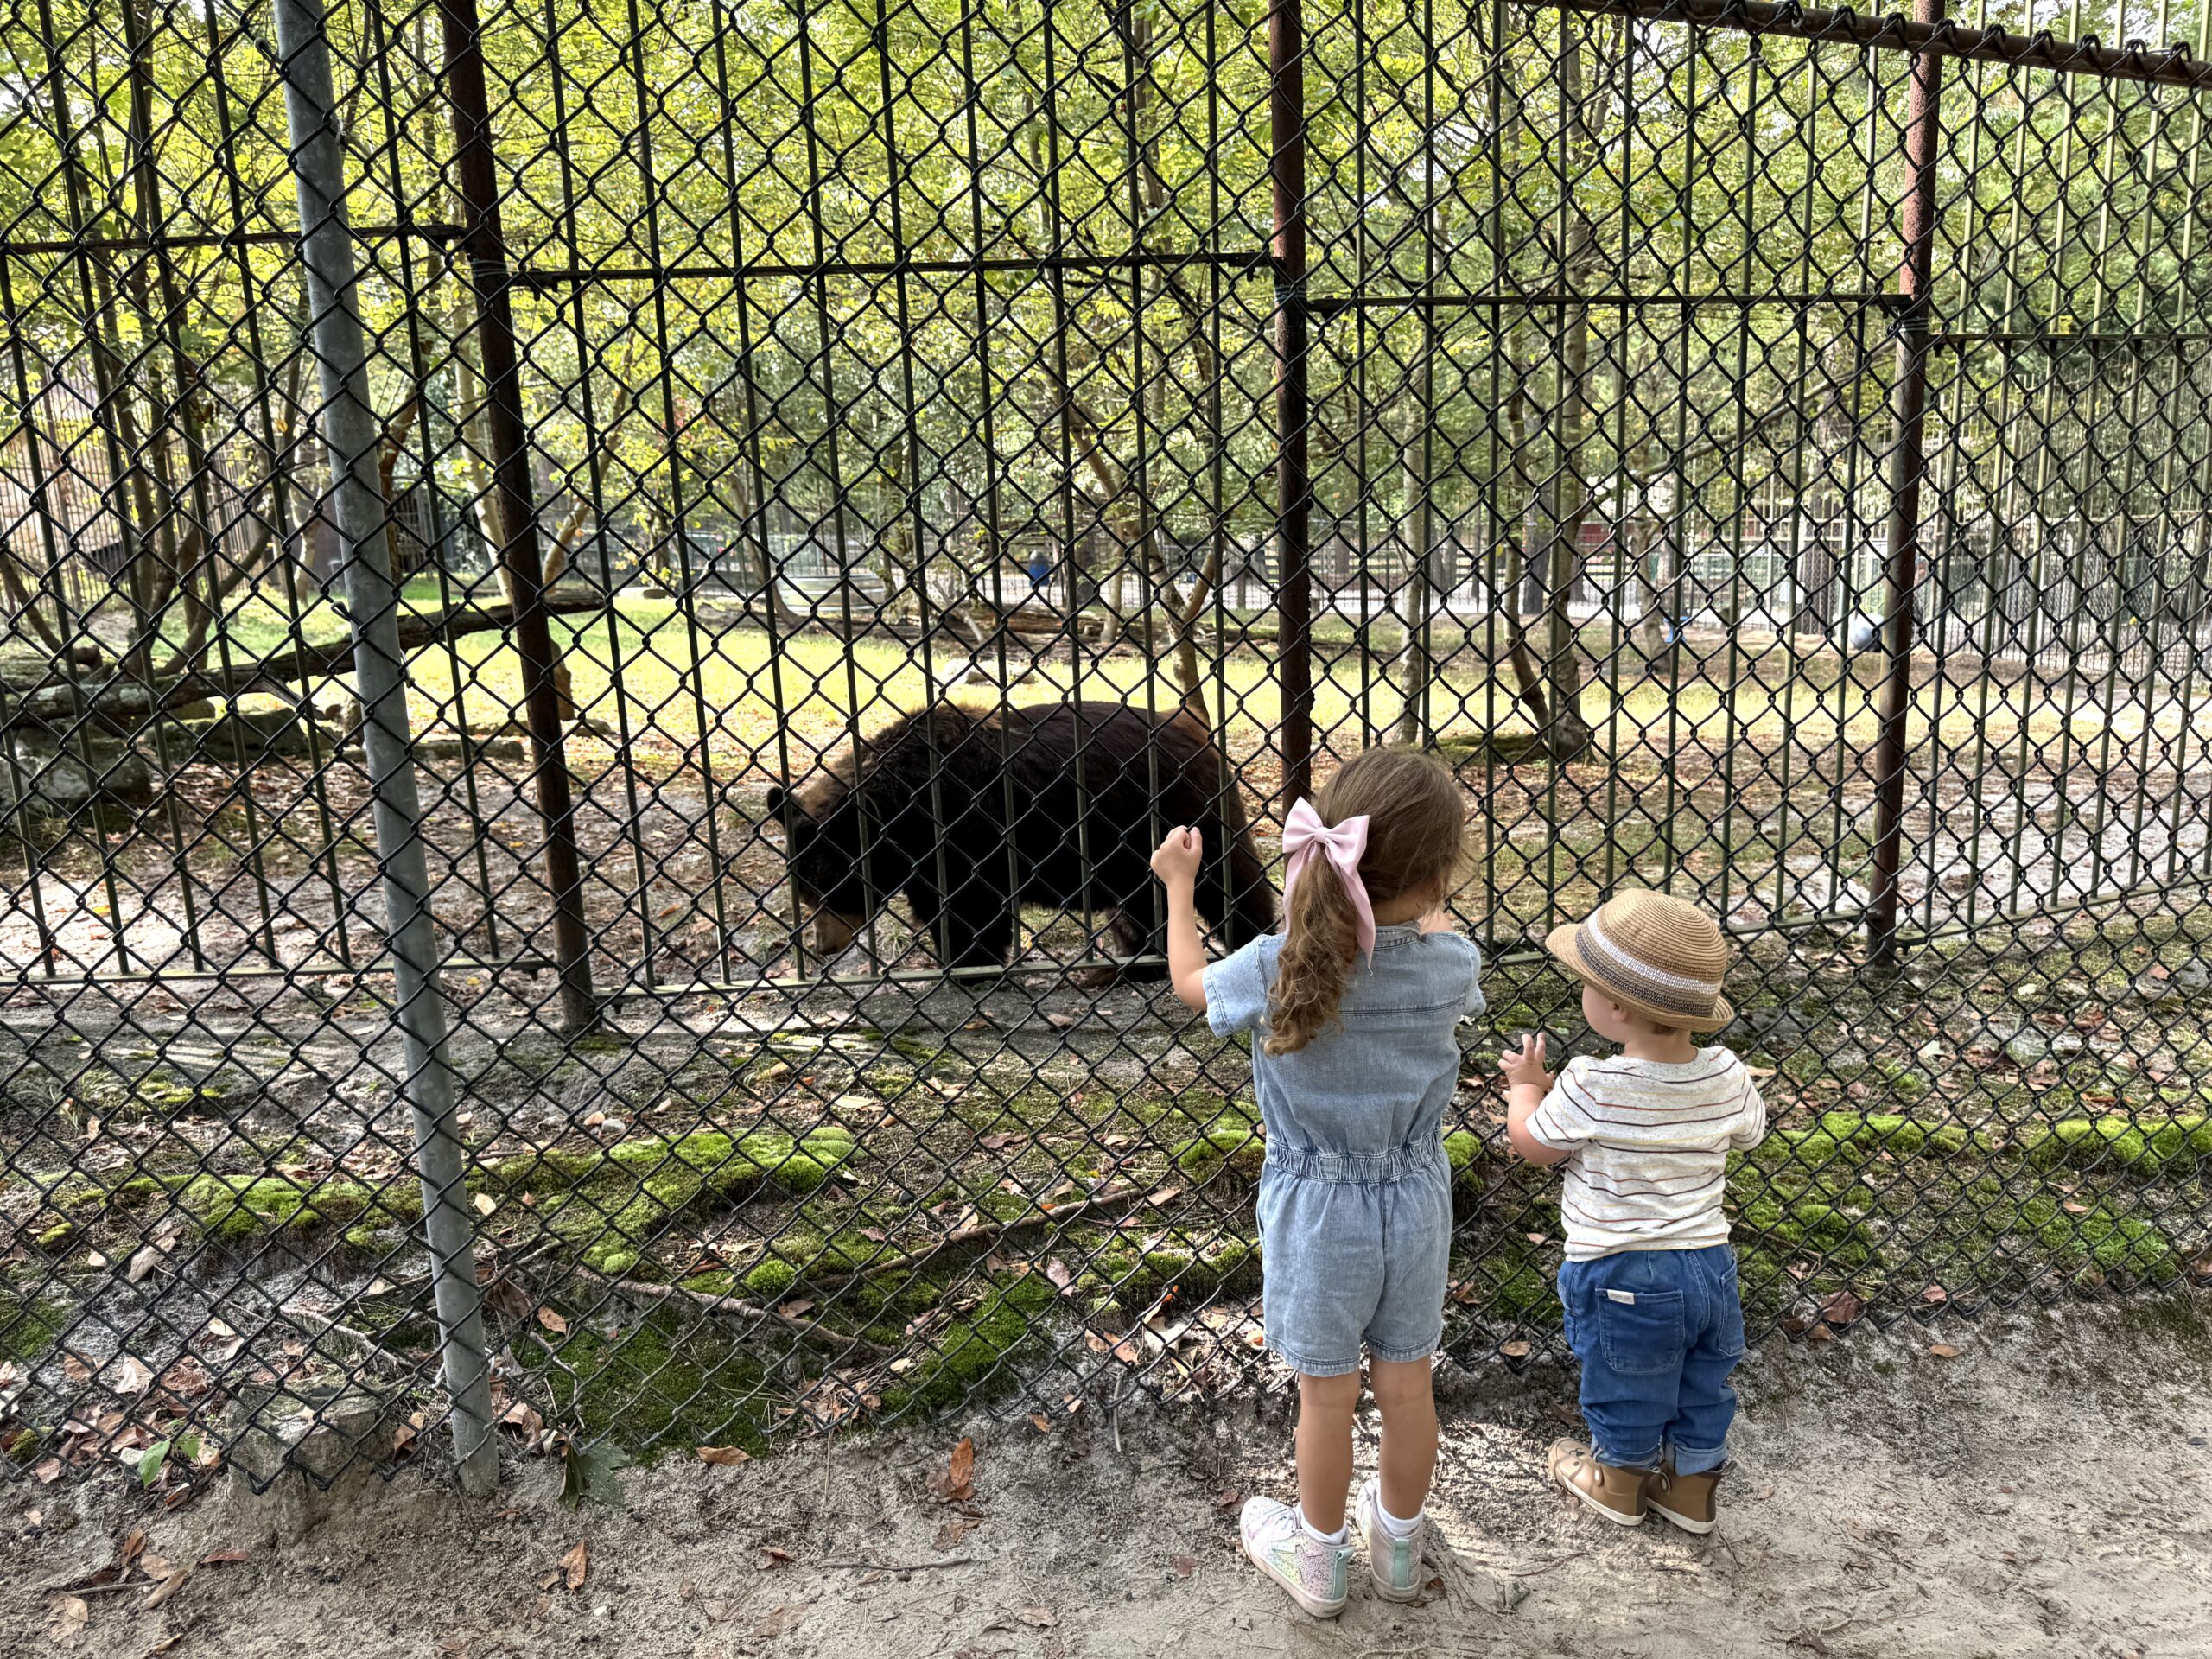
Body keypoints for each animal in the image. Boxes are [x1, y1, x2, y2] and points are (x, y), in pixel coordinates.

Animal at [765, 698, 1274, 982]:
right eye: (805, 892)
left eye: (835, 890)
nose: (822, 947)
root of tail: (1199, 732)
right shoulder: (926, 860)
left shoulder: (968, 830)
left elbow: (971, 908)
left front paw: (971, 967)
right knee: (1141, 908)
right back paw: (1130, 965)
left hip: (1182, 813)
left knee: (1230, 883)